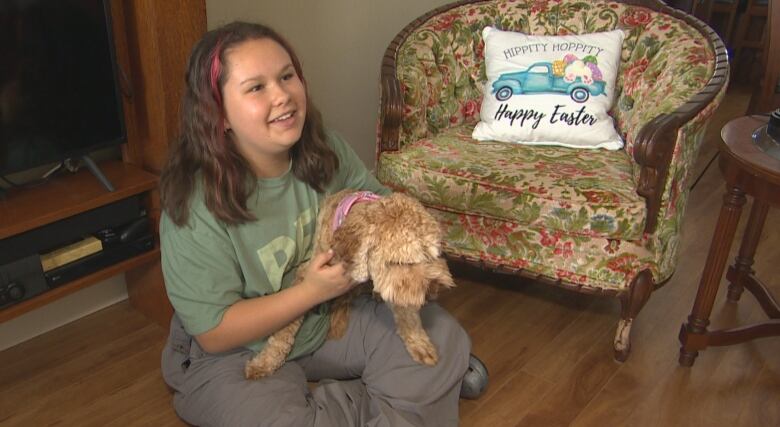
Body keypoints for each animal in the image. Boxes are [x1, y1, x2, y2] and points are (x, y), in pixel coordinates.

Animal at [245, 189, 458, 380]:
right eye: (399, 262)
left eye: (433, 254)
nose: (433, 289)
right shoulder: (307, 272)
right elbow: (285, 328)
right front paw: (265, 362)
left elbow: (407, 315)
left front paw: (419, 342)